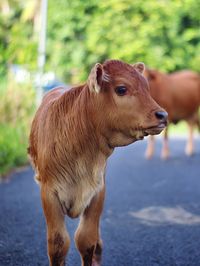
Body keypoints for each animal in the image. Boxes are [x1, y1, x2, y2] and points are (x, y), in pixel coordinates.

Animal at [27, 60, 166, 266]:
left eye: (147, 88)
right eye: (121, 89)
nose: (162, 115)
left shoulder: (98, 191)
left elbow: (87, 240)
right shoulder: (48, 192)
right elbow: (58, 243)